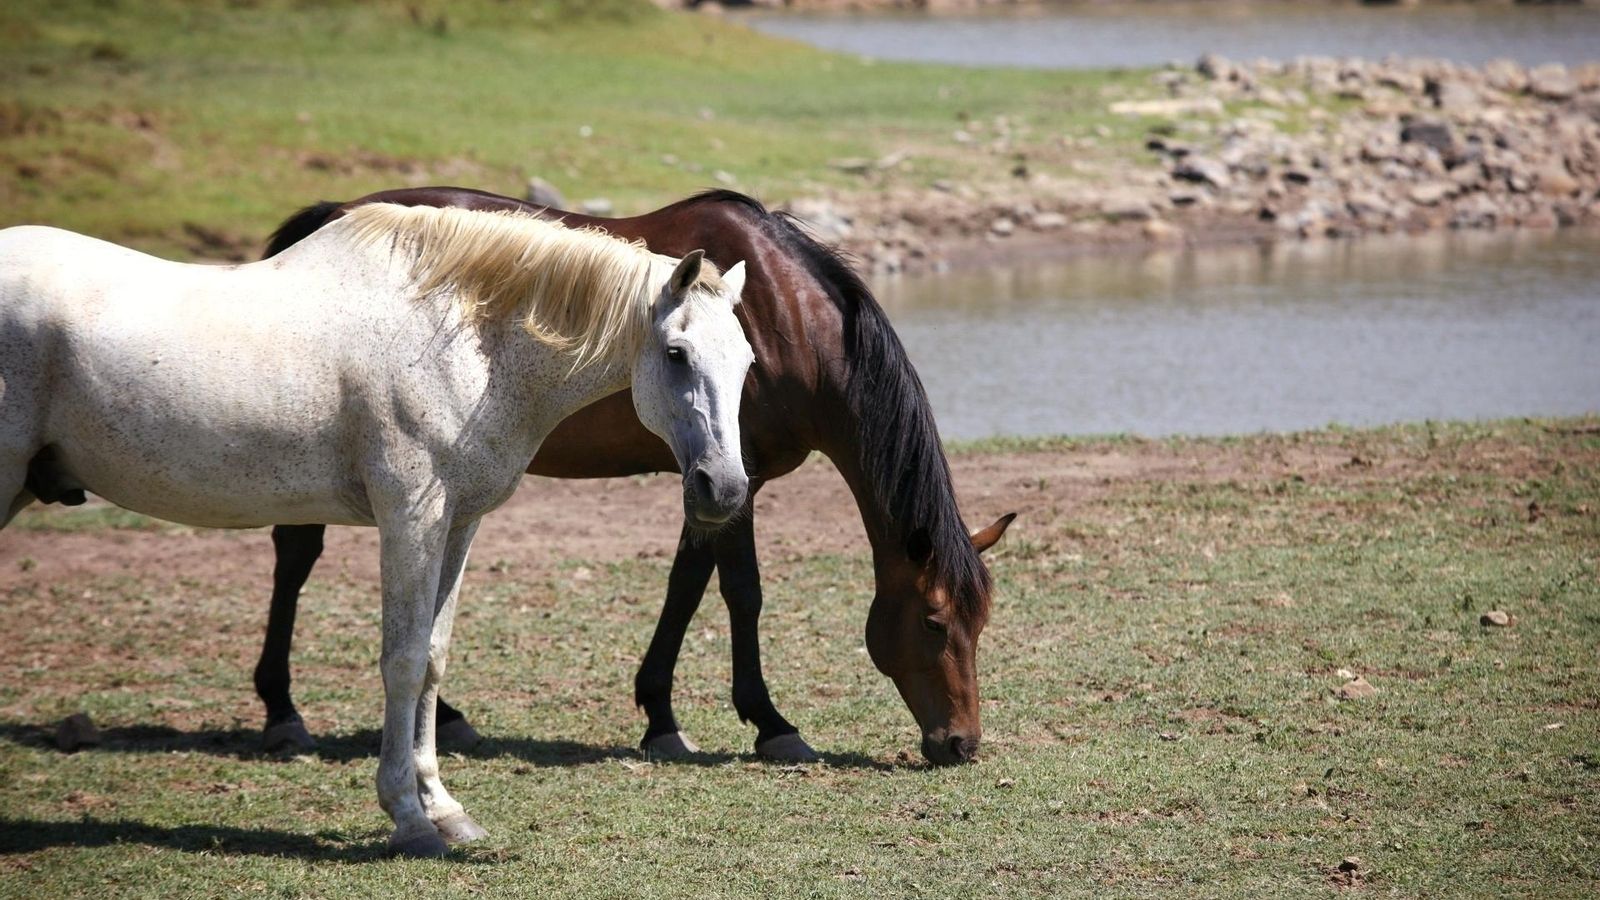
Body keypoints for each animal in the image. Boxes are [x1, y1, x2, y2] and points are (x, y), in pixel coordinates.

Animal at [0, 203, 754, 857]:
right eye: (678, 353)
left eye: (747, 361)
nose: (724, 488)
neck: (462, 340)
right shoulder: (410, 517)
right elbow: (404, 662)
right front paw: (409, 819)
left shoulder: (458, 523)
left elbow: (434, 658)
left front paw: (444, 809)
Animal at [252, 187, 1016, 767]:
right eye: (934, 621)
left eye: (980, 623)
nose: (960, 743)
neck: (785, 318)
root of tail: (333, 214)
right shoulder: (738, 478)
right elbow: (742, 593)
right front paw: (772, 724)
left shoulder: (717, 481)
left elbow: (686, 586)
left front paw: (661, 717)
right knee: (296, 557)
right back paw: (286, 714)